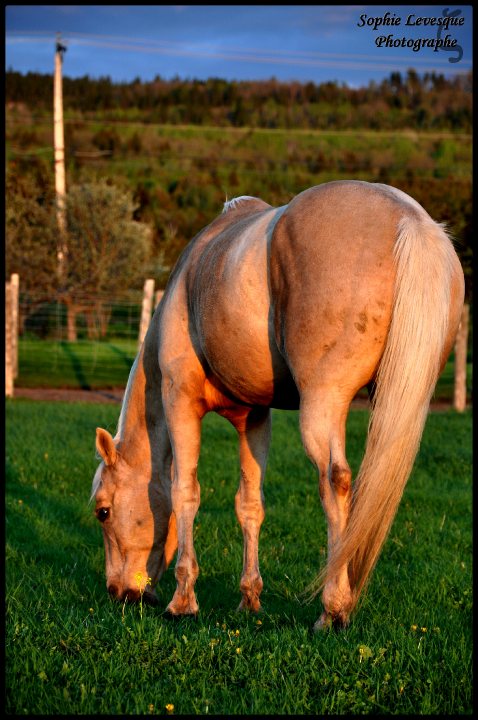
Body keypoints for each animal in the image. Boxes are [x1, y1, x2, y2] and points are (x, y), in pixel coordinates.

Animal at [91, 180, 464, 630]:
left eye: (103, 512)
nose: (119, 593)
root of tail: (411, 219)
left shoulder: (180, 399)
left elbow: (185, 492)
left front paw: (183, 601)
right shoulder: (254, 417)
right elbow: (249, 503)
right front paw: (249, 598)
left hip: (324, 403)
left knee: (335, 480)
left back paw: (332, 609)